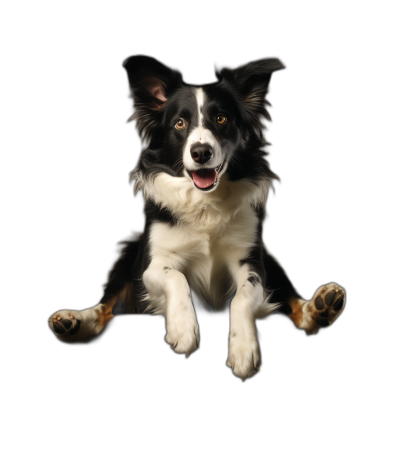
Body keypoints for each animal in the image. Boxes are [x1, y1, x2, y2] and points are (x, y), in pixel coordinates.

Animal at [48, 54, 346, 382]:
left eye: (221, 119)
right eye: (179, 123)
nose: (201, 152)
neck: (205, 204)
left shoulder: (251, 262)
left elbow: (242, 297)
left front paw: (243, 350)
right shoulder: (152, 264)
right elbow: (177, 278)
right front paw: (183, 329)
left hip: (270, 261)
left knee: (292, 300)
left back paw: (321, 307)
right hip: (128, 253)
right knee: (106, 306)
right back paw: (73, 321)